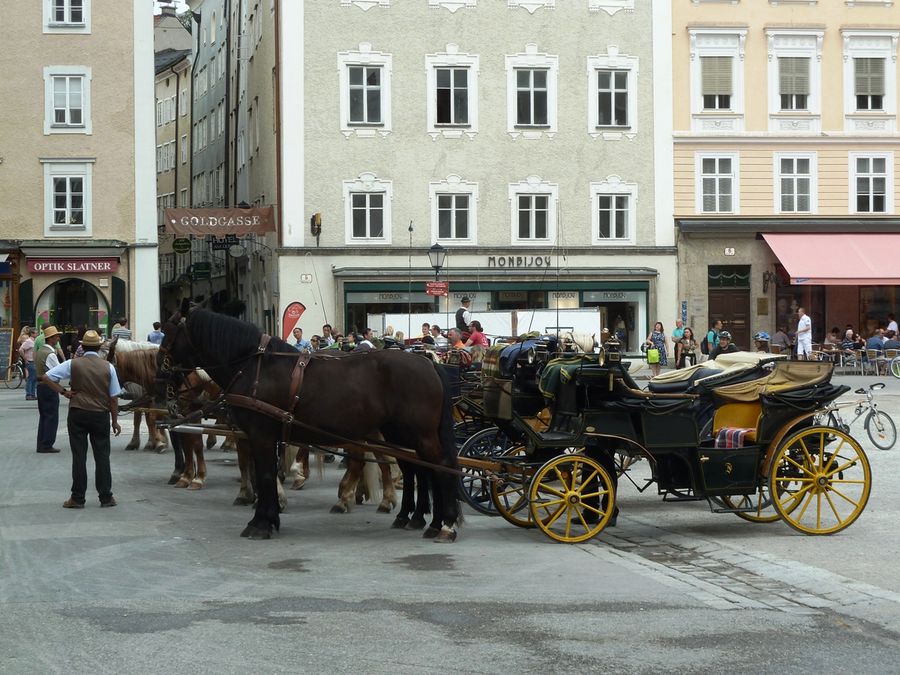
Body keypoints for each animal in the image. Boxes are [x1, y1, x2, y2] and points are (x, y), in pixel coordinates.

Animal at [157, 306, 460, 544]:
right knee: (418, 469)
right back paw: (422, 519)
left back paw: (445, 524)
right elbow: (267, 474)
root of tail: (428, 362)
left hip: (419, 434)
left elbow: (265, 475)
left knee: (440, 467)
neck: (256, 367)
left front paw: (261, 523)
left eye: (169, 335)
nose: (160, 372)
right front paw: (270, 516)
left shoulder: (261, 435)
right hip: (400, 434)